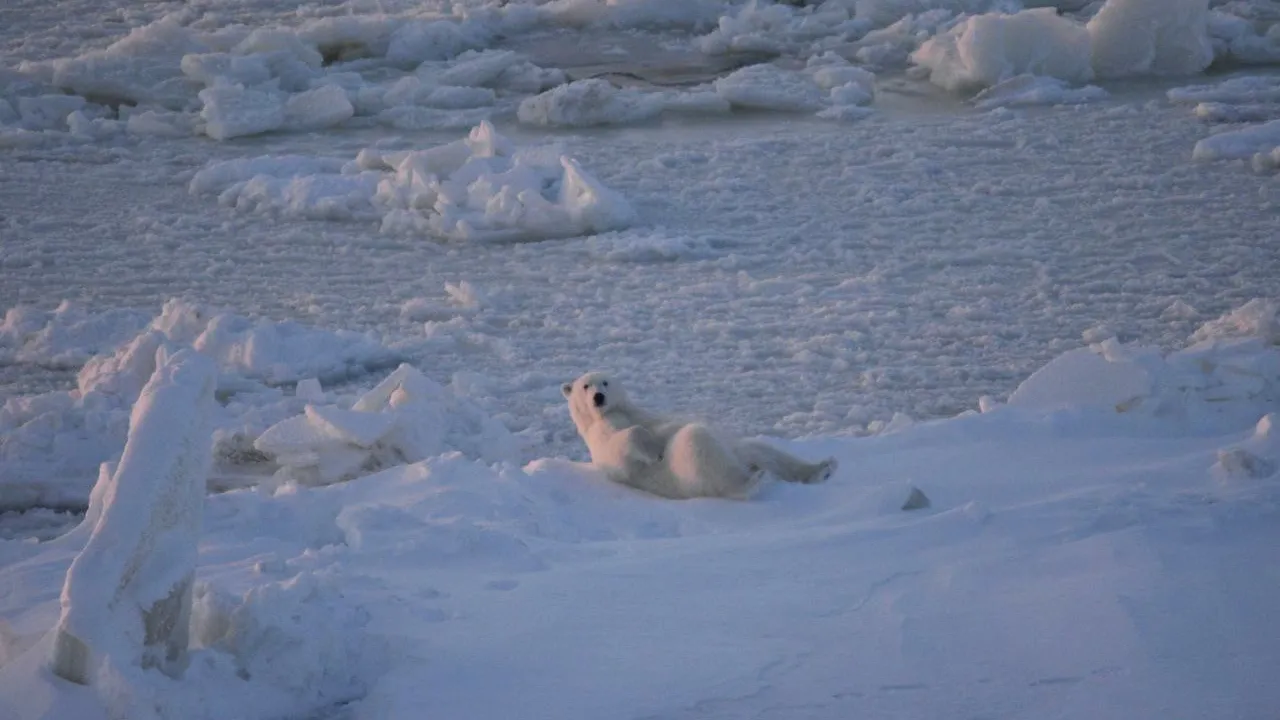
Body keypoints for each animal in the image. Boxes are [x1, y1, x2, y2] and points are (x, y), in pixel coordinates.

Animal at [563, 371, 839, 497]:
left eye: (606, 382)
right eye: (585, 386)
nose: (599, 397)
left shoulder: (640, 413)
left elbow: (661, 421)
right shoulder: (602, 437)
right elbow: (621, 446)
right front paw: (654, 452)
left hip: (737, 451)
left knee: (762, 450)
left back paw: (823, 468)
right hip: (687, 476)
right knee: (697, 442)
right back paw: (751, 481)